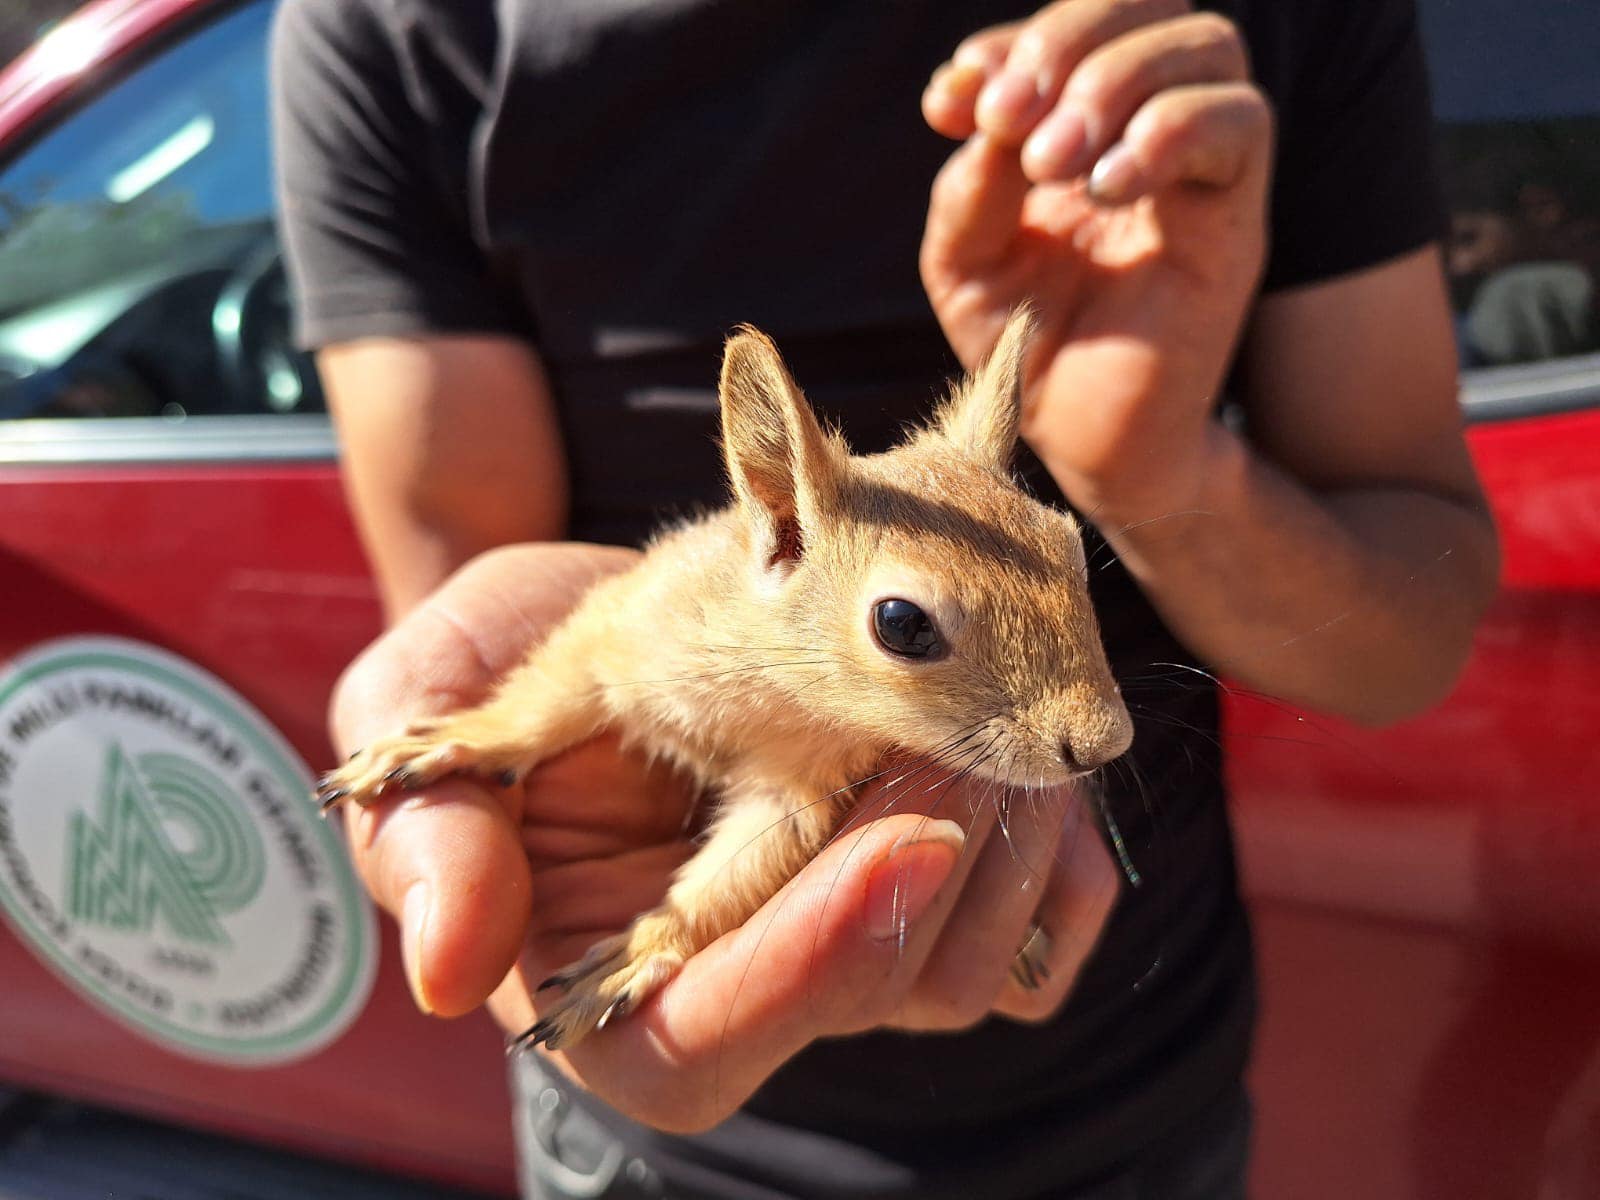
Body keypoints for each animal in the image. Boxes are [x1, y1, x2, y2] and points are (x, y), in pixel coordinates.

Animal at [318, 310, 1132, 1049]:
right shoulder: (625, 623)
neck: (775, 690)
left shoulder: (804, 784)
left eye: (1070, 546)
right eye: (901, 624)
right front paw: (460, 738)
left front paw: (637, 952)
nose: (1107, 744)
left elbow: (744, 865)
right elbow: (547, 697)